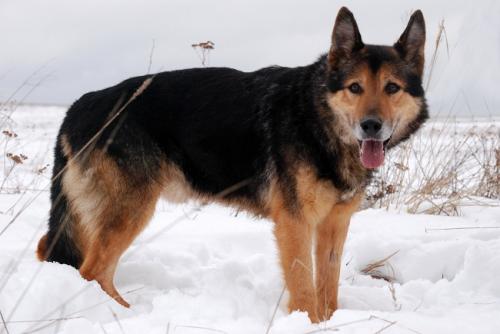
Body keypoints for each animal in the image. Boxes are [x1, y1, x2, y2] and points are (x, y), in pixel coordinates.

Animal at [37, 6, 428, 322]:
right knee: (92, 270)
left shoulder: (334, 225)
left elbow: (327, 290)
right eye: (355, 88)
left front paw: (332, 323)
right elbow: (304, 290)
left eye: (392, 88)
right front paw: (308, 323)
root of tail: (79, 105)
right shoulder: (295, 223)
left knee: (59, 254)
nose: (371, 126)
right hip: (130, 210)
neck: (316, 118)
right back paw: (124, 314)